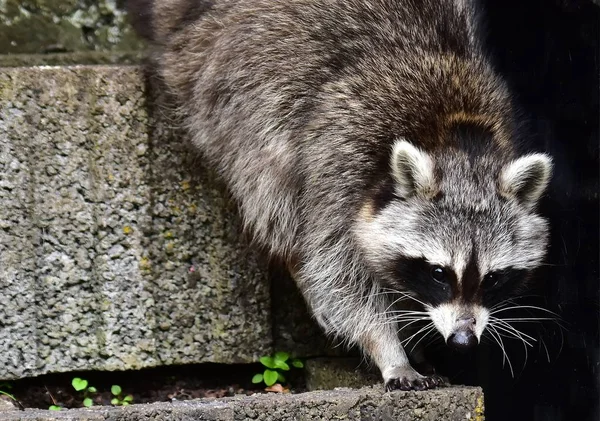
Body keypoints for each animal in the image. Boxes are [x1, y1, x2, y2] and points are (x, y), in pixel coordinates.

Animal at [126, 0, 552, 390]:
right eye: (439, 273)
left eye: (493, 278)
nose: (463, 340)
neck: (455, 134)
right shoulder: (338, 159)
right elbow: (337, 275)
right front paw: (390, 348)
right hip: (232, 99)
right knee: (276, 204)